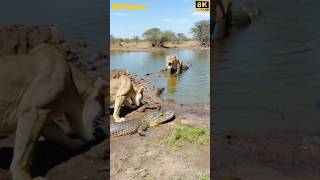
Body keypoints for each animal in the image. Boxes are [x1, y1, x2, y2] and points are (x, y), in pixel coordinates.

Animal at [0, 44, 107, 180]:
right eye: (101, 115)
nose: (101, 133)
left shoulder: (44, 114)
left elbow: (58, 134)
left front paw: (76, 143)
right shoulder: (34, 111)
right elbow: (25, 148)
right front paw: (23, 176)